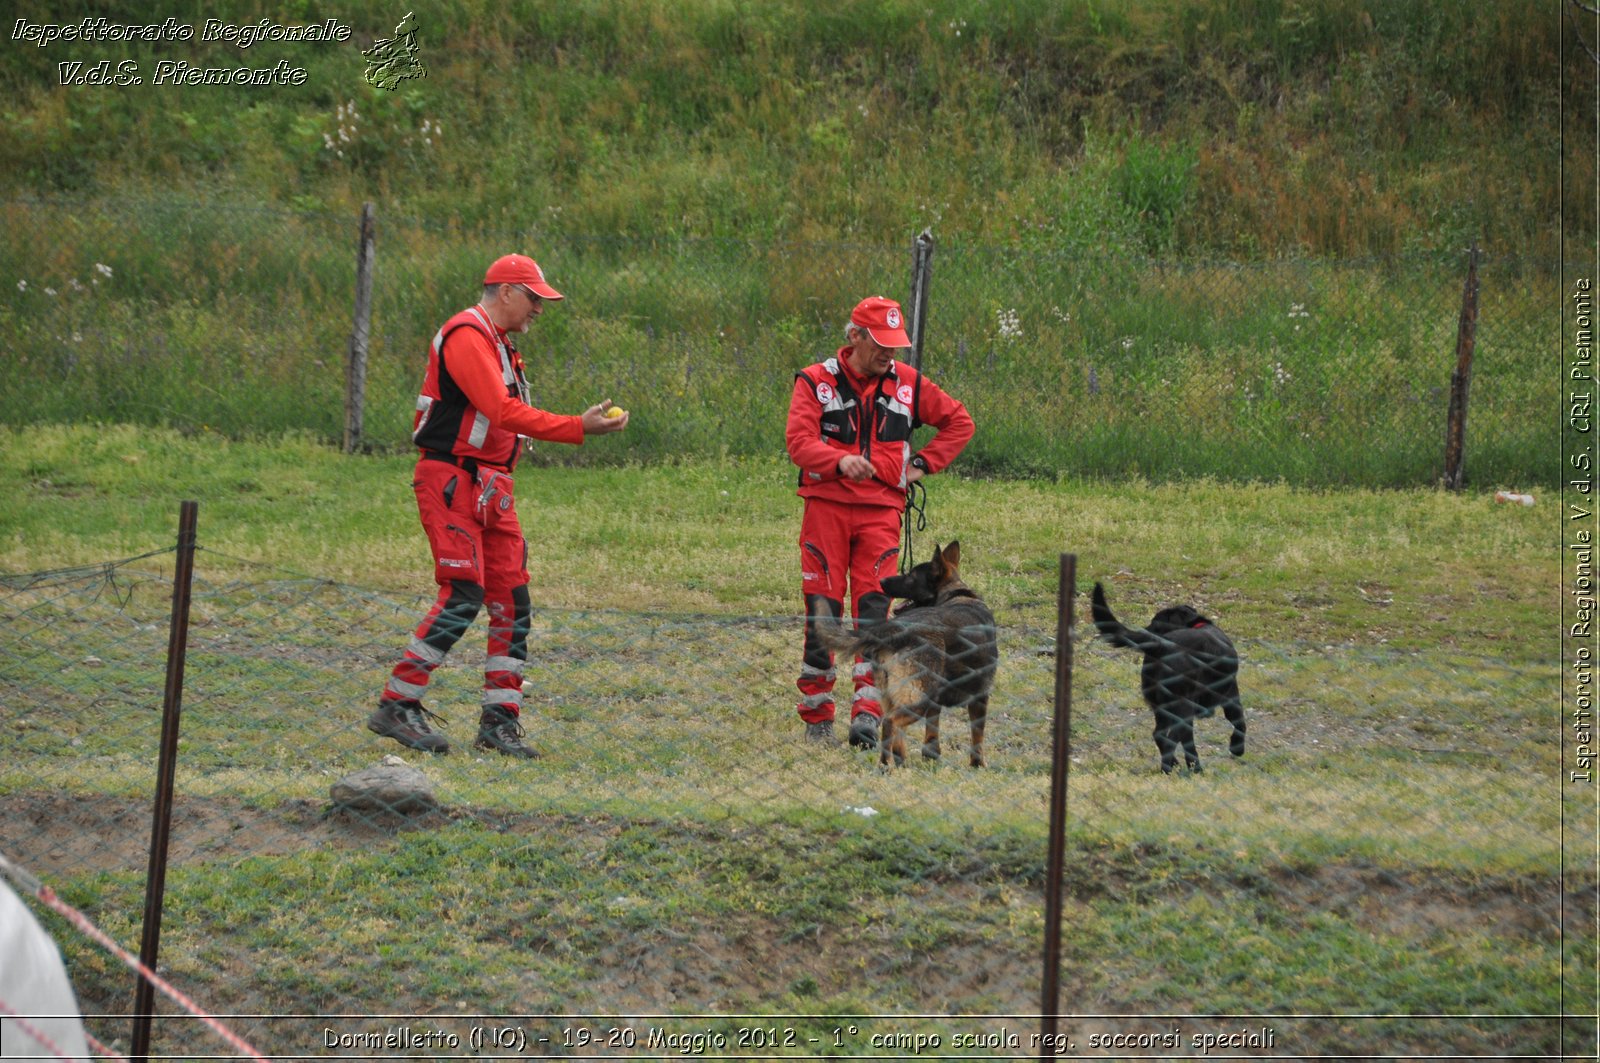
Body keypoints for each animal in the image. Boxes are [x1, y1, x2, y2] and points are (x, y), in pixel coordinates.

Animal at [819, 544, 992, 768]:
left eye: (910, 577)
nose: (881, 581)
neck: (955, 593)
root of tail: (895, 630)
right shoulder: (980, 696)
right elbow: (977, 736)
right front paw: (977, 765)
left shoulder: (936, 703)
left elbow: (931, 736)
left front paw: (931, 759)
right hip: (917, 699)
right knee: (890, 722)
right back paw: (886, 766)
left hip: (896, 694)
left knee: (896, 733)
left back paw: (898, 763)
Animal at [1094, 582, 1241, 771]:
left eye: (1154, 624)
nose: (1145, 630)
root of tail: (1161, 646)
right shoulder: (1231, 694)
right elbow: (1239, 722)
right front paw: (1237, 748)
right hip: (1183, 706)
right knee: (1171, 738)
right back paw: (1169, 768)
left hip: (1163, 705)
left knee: (1161, 734)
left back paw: (1179, 765)